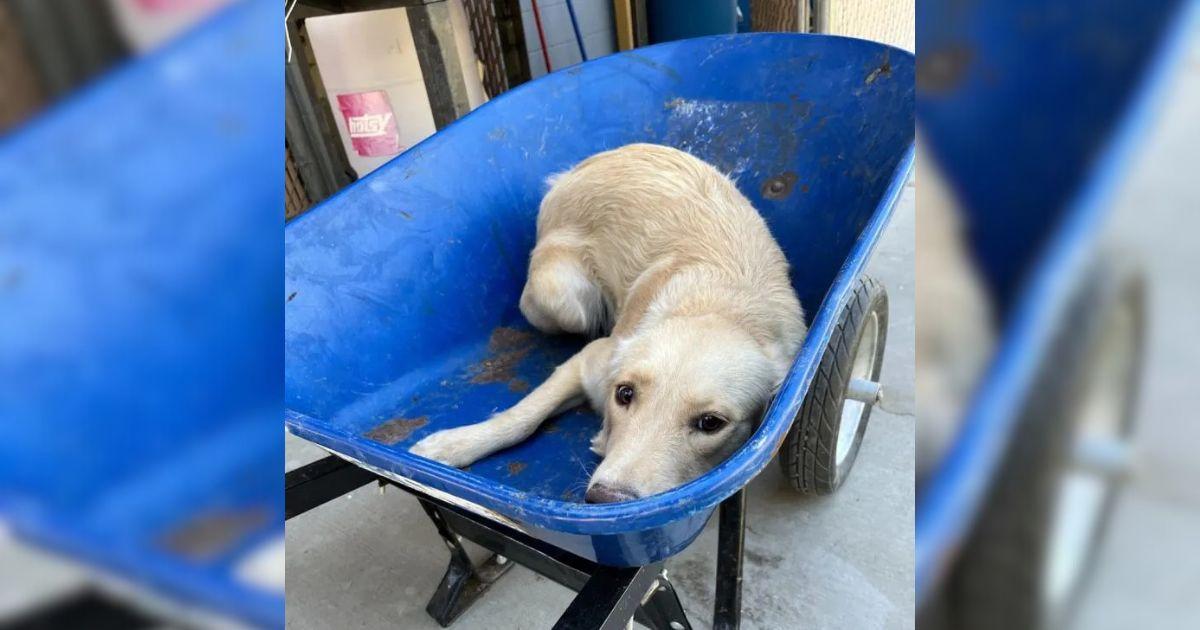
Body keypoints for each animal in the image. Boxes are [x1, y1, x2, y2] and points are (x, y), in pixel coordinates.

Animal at [410, 142, 806, 501]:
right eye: (624, 394)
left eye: (710, 423)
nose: (605, 500)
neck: (721, 308)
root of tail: (590, 162)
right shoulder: (590, 360)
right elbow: (521, 417)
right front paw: (453, 444)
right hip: (561, 300)